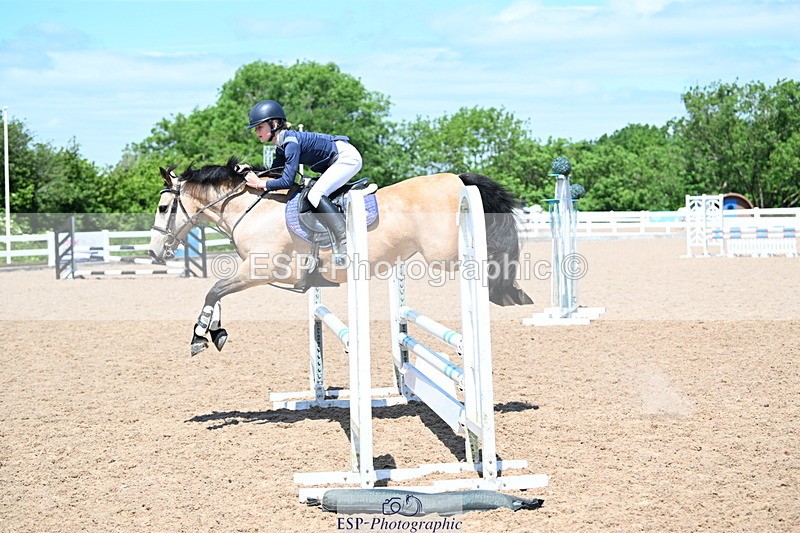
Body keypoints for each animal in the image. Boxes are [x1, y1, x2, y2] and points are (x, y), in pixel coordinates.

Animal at [148, 157, 533, 356]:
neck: (252, 210)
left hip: (444, 253)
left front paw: (200, 336)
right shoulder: (253, 272)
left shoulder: (262, 270)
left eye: (164, 207)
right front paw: (215, 332)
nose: (154, 253)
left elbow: (214, 289)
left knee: (487, 255)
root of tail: (457, 178)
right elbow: (217, 292)